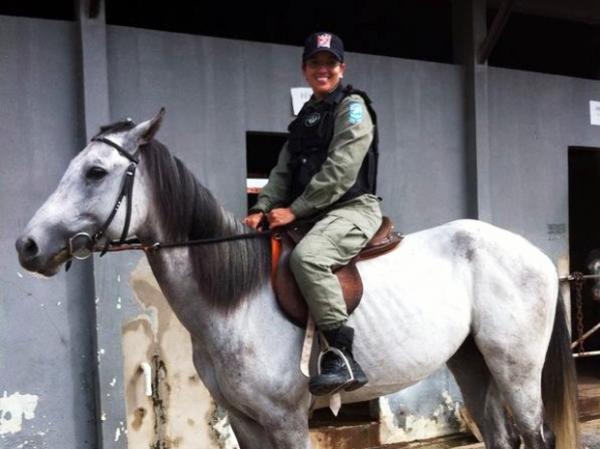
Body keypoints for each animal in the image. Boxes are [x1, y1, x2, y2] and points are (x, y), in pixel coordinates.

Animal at [15, 109, 576, 448]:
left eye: (95, 172)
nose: (27, 246)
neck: (236, 301)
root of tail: (533, 254)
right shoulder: (244, 420)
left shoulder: (286, 419)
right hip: (473, 363)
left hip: (516, 368)